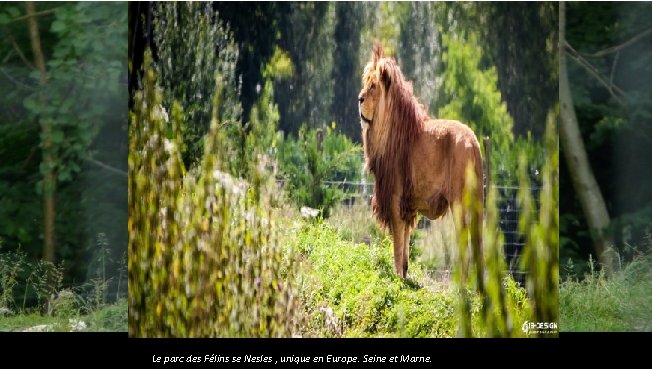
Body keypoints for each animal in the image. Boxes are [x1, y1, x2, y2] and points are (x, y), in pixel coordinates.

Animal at [356, 43, 484, 288]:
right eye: (365, 83)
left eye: (373, 86)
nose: (359, 99)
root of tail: (473, 142)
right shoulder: (407, 204)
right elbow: (405, 242)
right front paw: (405, 276)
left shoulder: (395, 197)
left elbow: (397, 244)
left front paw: (397, 278)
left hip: (460, 203)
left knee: (464, 245)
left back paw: (461, 286)